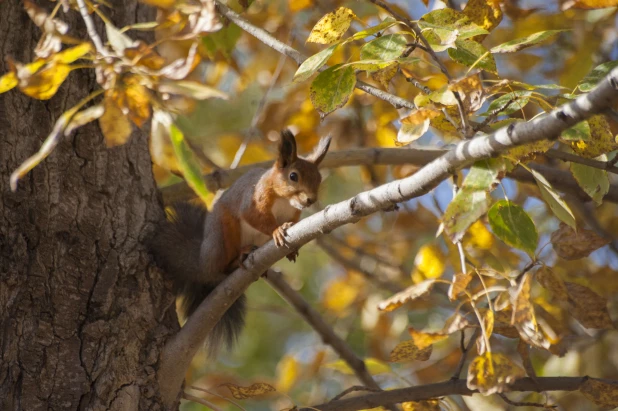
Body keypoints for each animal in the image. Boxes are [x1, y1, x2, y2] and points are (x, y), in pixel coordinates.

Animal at [150, 130, 330, 354]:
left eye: (319, 178)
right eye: (293, 176)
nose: (310, 200)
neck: (284, 201)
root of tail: (203, 265)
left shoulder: (295, 215)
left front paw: (291, 248)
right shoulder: (254, 200)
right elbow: (255, 216)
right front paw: (277, 230)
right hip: (225, 235)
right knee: (222, 267)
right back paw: (238, 259)